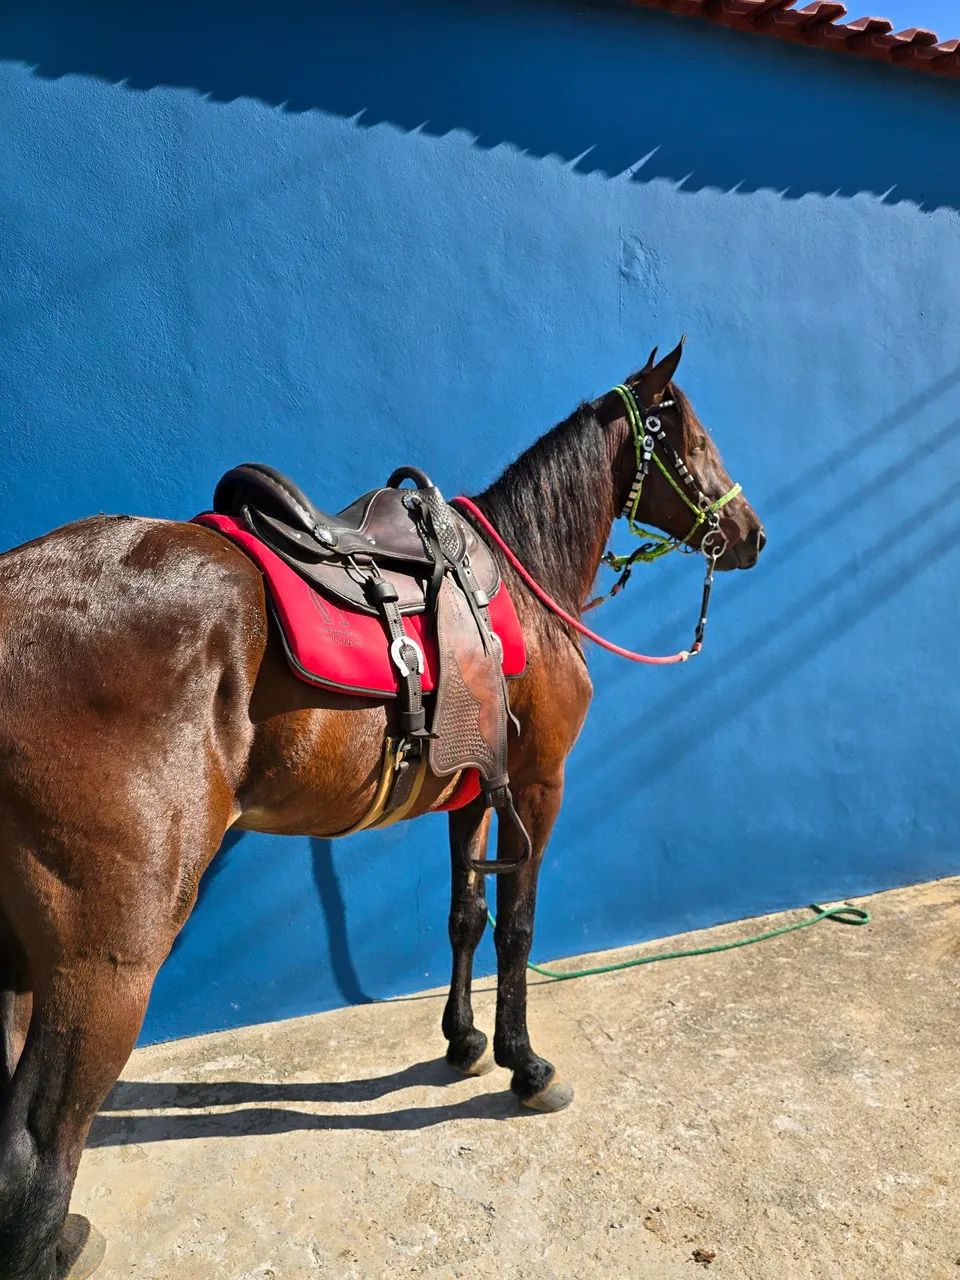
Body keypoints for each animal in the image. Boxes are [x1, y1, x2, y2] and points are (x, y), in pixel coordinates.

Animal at [0, 338, 763, 1279]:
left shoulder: (473, 788)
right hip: (104, 953)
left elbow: (465, 916)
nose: (752, 534)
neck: (524, 584)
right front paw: (523, 1064)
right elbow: (517, 927)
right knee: (41, 1137)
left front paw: (464, 1042)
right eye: (692, 438)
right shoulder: (537, 786)